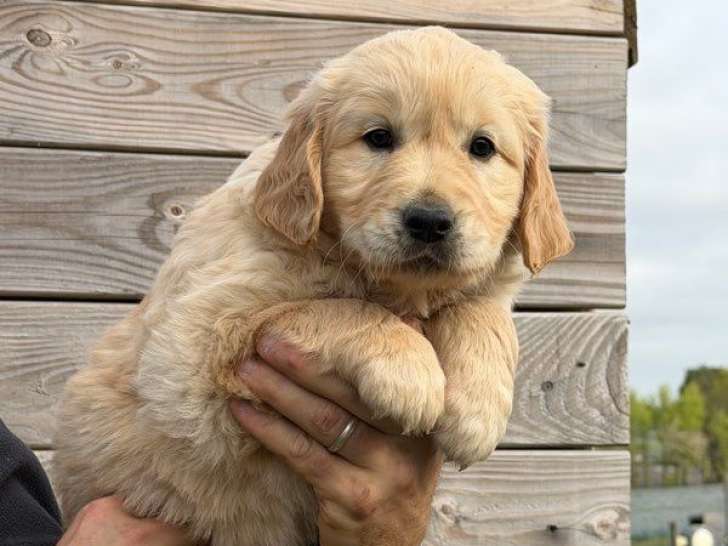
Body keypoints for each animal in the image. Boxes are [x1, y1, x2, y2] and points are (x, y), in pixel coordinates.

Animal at [53, 26, 573, 546]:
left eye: (482, 147)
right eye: (378, 138)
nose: (429, 221)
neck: (393, 286)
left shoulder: (483, 286)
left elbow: (482, 312)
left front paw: (478, 412)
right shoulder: (190, 351)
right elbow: (331, 307)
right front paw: (411, 374)